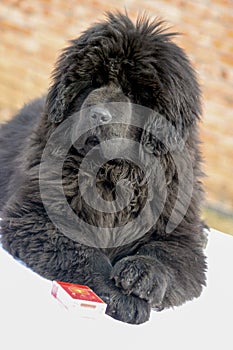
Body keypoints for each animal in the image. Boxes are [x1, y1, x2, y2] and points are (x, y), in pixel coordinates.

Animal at [0, 13, 208, 326]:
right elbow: (85, 255)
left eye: (134, 92)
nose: (98, 115)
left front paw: (142, 275)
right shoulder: (35, 217)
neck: (113, 174)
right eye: (93, 82)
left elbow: (166, 256)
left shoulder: (180, 234)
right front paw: (120, 298)